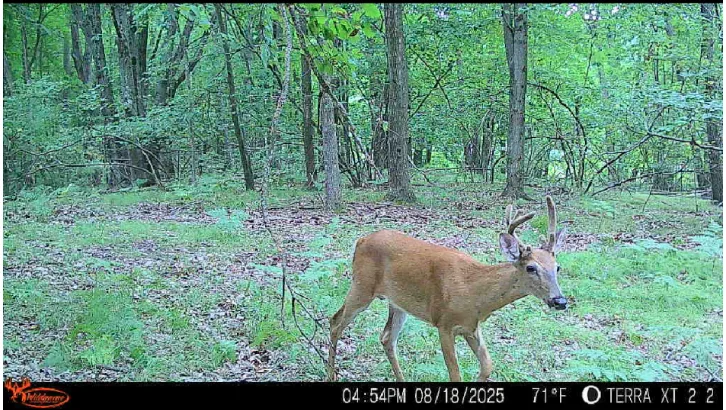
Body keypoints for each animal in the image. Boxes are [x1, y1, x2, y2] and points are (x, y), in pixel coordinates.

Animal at [327, 196, 567, 382]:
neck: (475, 293)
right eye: (531, 267)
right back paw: (331, 375)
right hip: (362, 285)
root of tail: (361, 240)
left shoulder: (471, 327)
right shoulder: (444, 323)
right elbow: (455, 375)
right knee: (335, 322)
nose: (560, 301)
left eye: (557, 267)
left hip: (398, 302)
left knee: (386, 337)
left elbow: (487, 366)